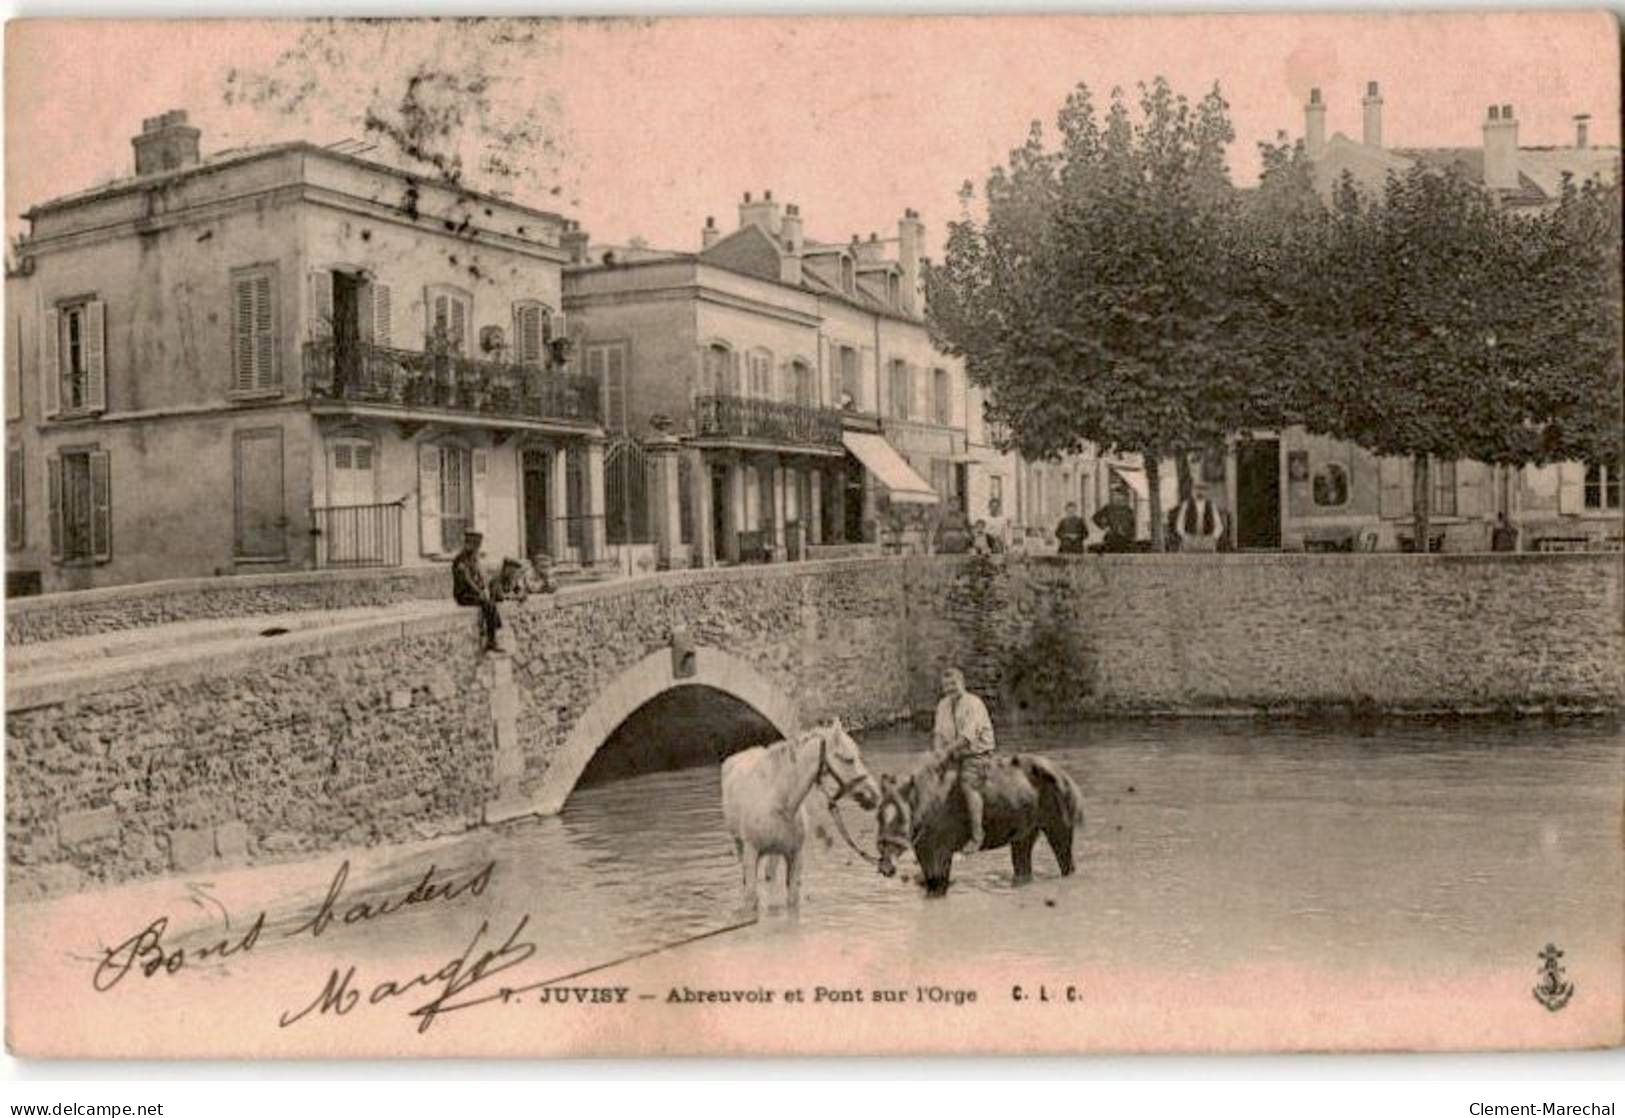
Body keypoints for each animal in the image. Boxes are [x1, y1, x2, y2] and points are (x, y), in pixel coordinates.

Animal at [721, 721, 877, 910]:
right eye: (849, 759)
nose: (874, 795)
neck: (780, 802)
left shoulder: (795, 856)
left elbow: (792, 901)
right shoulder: (751, 853)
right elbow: (751, 899)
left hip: (774, 854)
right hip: (739, 845)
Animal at [871, 750, 1085, 897]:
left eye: (902, 819)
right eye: (879, 816)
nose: (885, 867)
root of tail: (1065, 776)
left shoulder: (940, 852)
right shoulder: (925, 853)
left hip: (1058, 830)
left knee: (1067, 866)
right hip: (1024, 836)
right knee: (1023, 871)